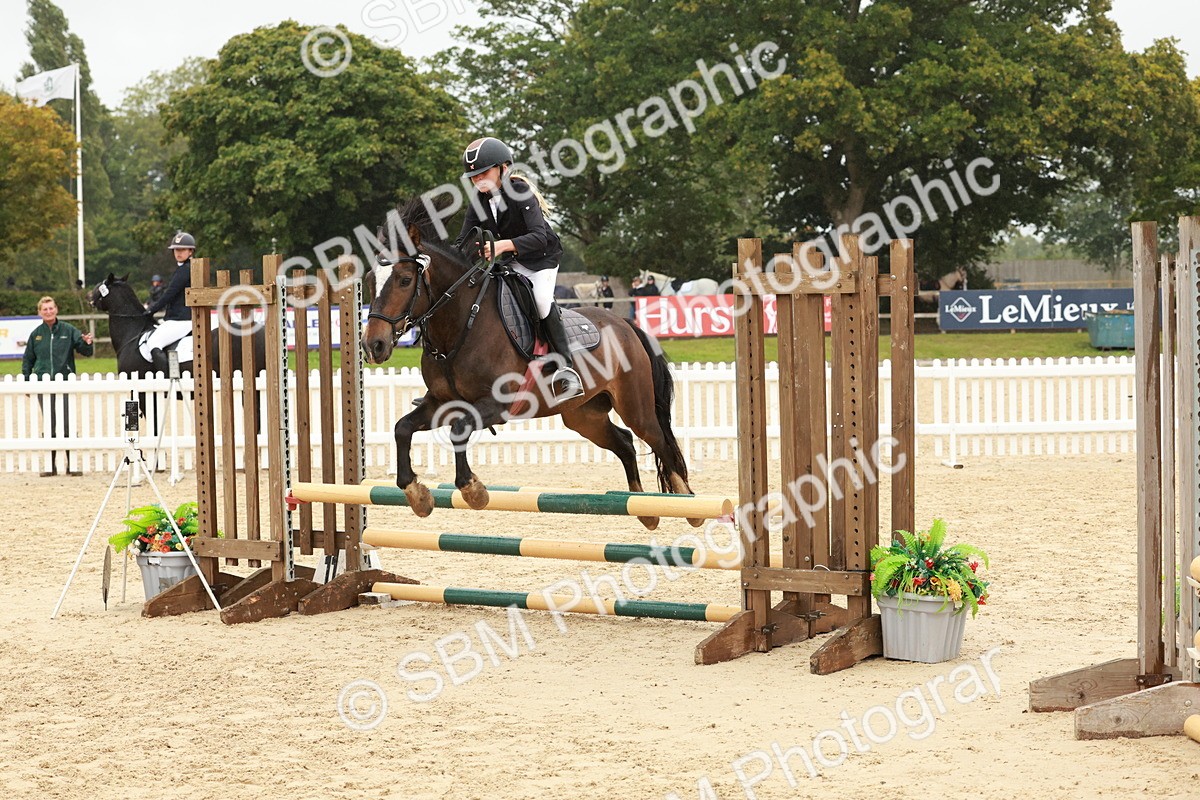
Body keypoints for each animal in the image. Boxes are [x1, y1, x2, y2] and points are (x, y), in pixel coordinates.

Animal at [361, 198, 697, 531]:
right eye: (369, 282)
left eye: (405, 280)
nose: (373, 345)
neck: (461, 325)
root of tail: (625, 324)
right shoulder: (441, 402)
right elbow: (402, 428)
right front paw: (417, 494)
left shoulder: (497, 403)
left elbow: (459, 429)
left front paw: (473, 490)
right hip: (584, 416)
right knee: (626, 442)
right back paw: (646, 510)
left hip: (635, 407)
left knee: (661, 441)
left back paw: (688, 504)